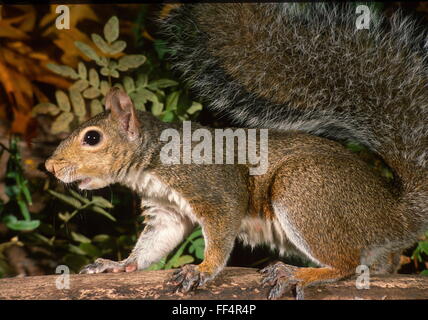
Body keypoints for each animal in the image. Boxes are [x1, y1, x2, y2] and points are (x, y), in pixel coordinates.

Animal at [45, 3, 426, 300]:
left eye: (92, 138)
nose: (50, 166)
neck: (153, 161)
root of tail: (396, 214)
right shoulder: (166, 210)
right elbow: (156, 242)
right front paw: (119, 265)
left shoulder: (212, 188)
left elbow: (221, 230)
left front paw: (202, 270)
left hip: (302, 189)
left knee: (346, 264)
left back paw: (297, 274)